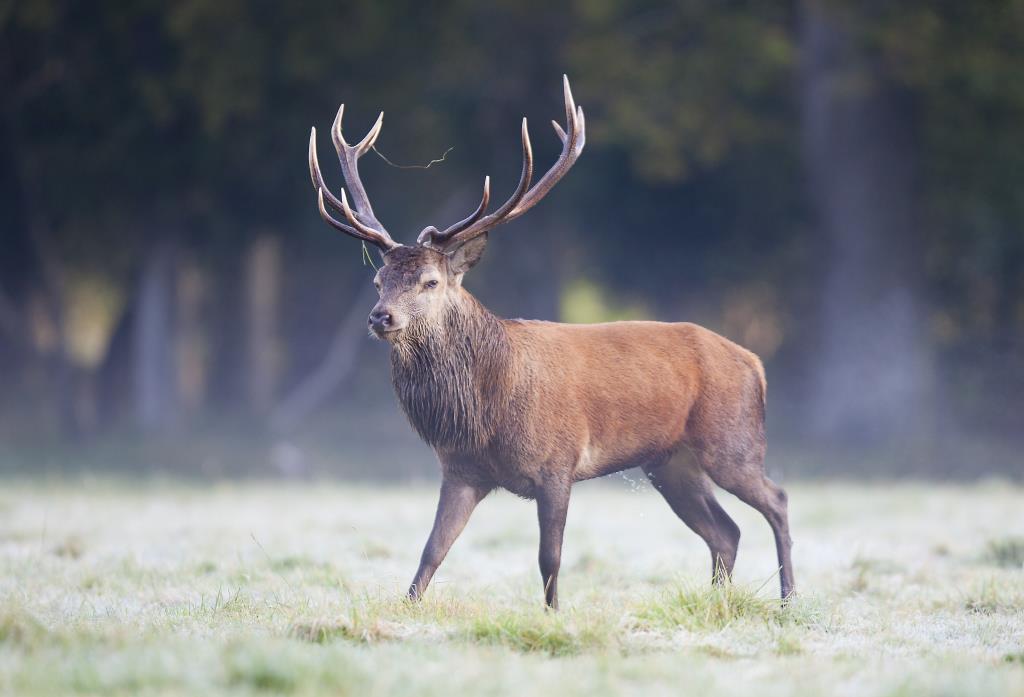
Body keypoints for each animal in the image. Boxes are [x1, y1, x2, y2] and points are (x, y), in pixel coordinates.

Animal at [307, 77, 794, 610]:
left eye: (430, 281)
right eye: (378, 281)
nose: (381, 317)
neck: (485, 410)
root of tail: (754, 362)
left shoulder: (557, 464)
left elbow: (550, 558)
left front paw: (553, 615)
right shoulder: (461, 471)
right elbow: (431, 552)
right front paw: (409, 609)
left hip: (732, 442)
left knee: (777, 500)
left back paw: (789, 598)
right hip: (670, 462)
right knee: (724, 531)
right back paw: (717, 602)